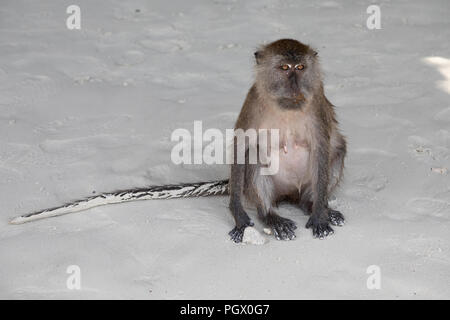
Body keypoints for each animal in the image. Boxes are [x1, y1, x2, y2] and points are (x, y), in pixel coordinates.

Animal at [10, 39, 348, 245]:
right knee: (254, 161)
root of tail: (288, 194)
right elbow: (242, 146)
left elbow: (322, 146)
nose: (294, 84)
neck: (286, 106)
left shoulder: (316, 103)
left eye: (300, 68)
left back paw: (311, 205)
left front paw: (319, 213)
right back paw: (270, 215)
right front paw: (240, 216)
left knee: (336, 151)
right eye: (284, 68)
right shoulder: (253, 102)